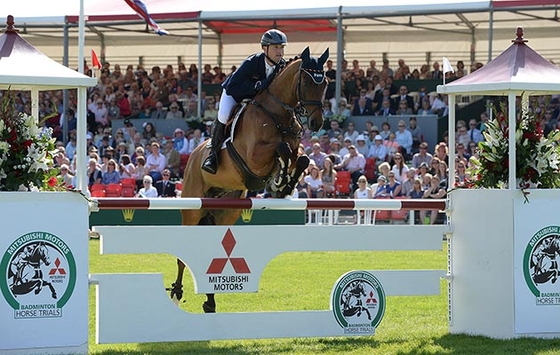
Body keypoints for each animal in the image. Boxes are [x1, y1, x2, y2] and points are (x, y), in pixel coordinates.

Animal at [173, 46, 330, 312]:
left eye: (326, 83)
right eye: (307, 82)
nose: (316, 123)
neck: (278, 114)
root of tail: (193, 156)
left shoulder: (294, 147)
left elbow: (301, 158)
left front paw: (284, 184)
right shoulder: (255, 157)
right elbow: (281, 149)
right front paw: (280, 179)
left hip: (227, 212)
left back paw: (210, 302)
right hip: (193, 208)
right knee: (183, 255)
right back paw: (177, 291)